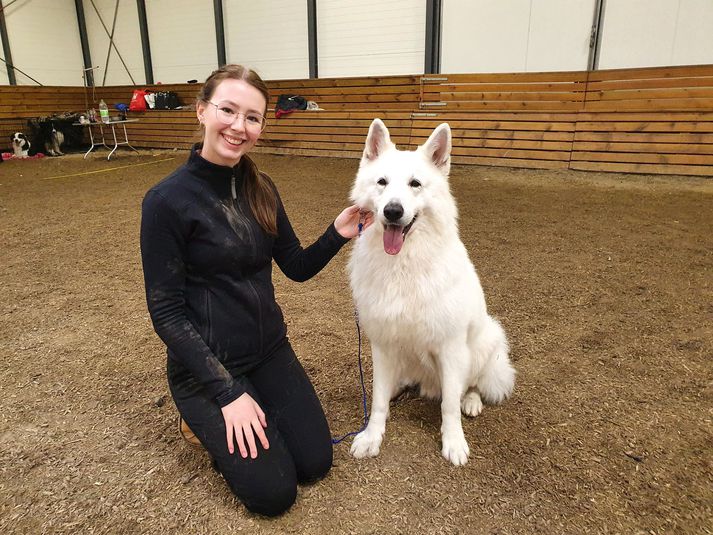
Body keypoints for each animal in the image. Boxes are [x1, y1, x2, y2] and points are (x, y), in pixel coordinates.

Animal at [348, 119, 516, 466]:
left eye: (415, 184)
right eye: (382, 182)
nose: (393, 211)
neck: (403, 265)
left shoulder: (451, 348)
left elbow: (449, 405)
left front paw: (454, 442)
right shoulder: (382, 343)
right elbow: (378, 400)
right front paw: (372, 436)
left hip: (485, 341)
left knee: (471, 385)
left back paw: (472, 401)